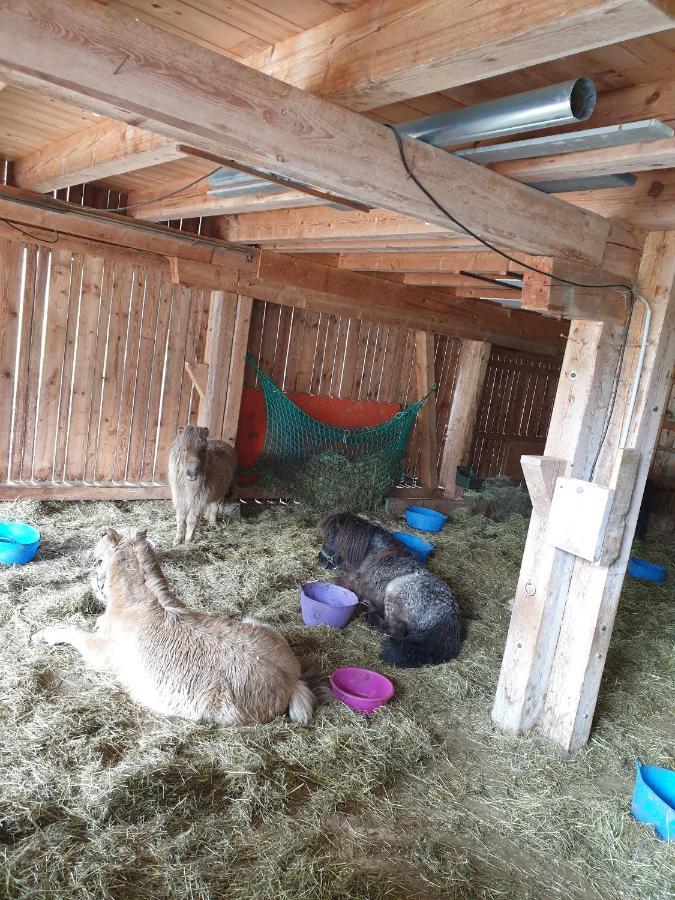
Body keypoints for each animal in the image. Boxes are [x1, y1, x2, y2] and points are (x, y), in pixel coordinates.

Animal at [35, 528, 322, 724]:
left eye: (98, 561)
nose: (95, 588)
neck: (135, 608)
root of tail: (291, 681)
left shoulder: (102, 654)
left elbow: (74, 633)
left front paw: (42, 635)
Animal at [320, 512, 462, 668]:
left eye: (330, 537)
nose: (319, 560)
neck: (374, 553)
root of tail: (449, 614)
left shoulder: (351, 582)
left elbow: (337, 581)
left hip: (394, 590)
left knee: (394, 630)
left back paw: (369, 613)